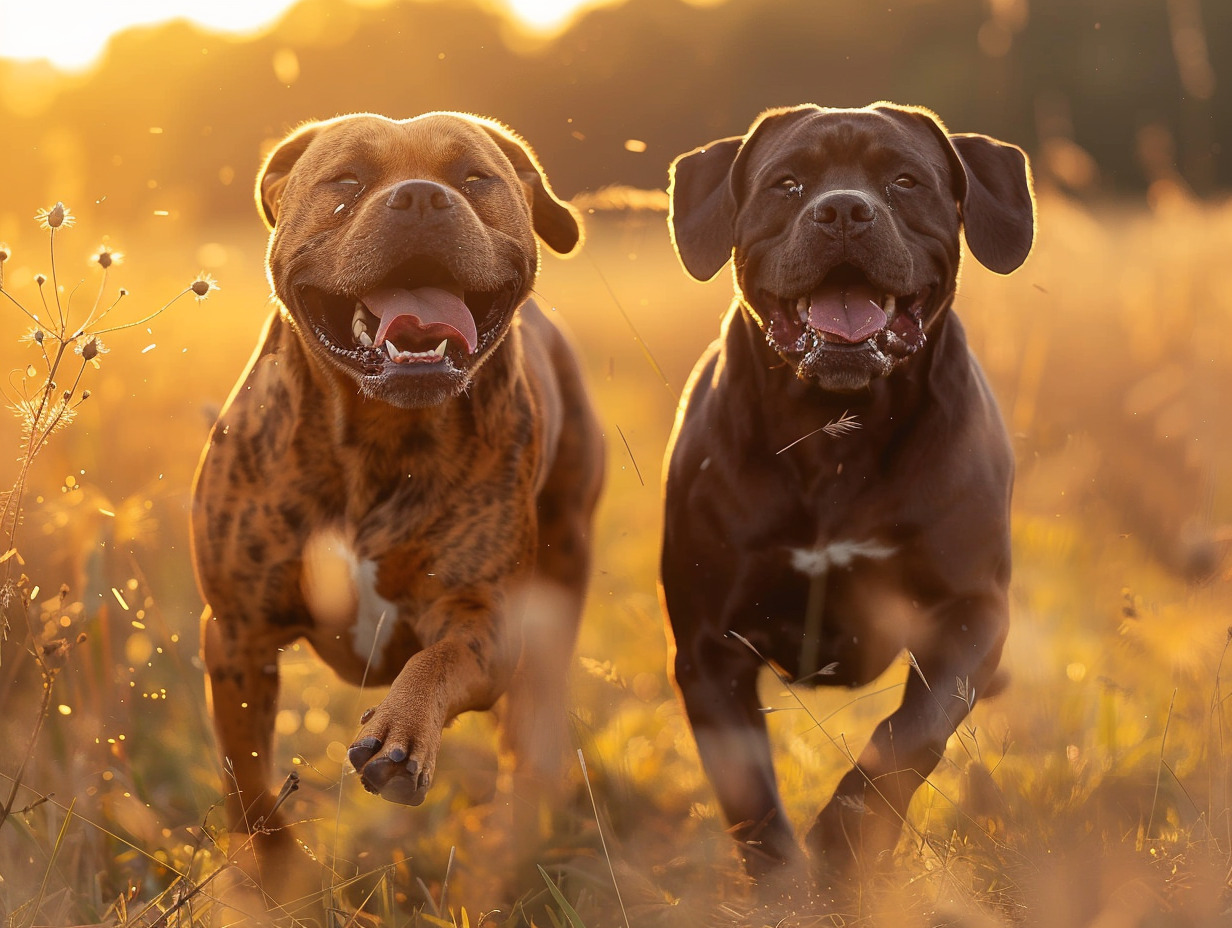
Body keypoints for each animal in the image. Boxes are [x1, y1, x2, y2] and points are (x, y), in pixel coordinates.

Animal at [189, 110, 603, 877]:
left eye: (475, 178)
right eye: (346, 180)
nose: (421, 198)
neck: (378, 434)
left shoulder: (482, 617)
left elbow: (434, 661)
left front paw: (401, 734)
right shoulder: (236, 633)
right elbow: (247, 770)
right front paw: (274, 873)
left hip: (560, 583)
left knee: (531, 725)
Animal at [660, 101, 1034, 882]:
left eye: (905, 181)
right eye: (787, 184)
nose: (841, 211)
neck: (833, 435)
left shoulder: (967, 613)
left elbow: (905, 738)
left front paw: (844, 846)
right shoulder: (709, 647)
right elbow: (748, 792)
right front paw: (785, 883)